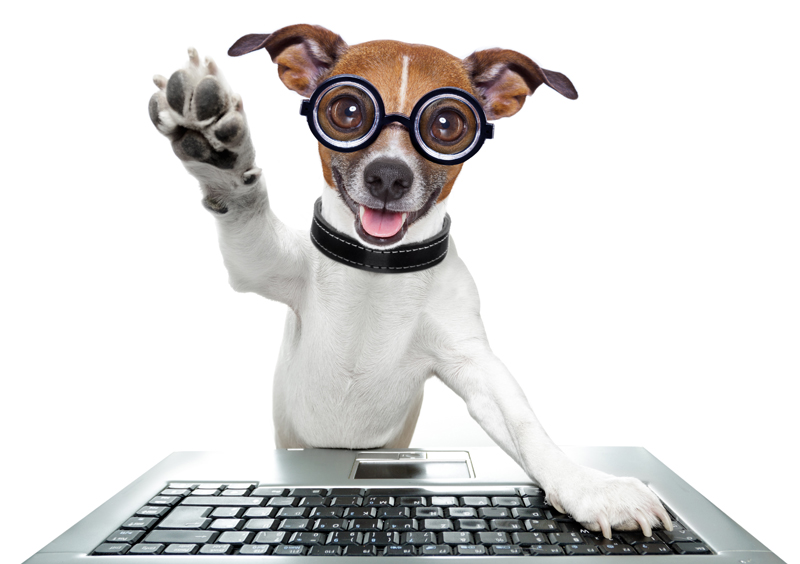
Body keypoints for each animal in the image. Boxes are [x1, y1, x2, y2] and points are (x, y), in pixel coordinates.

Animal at [148, 24, 668, 540]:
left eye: (447, 124)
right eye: (347, 111)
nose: (388, 176)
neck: (378, 270)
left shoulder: (473, 363)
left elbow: (524, 425)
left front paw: (587, 485)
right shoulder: (262, 262)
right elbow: (246, 206)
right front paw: (216, 148)